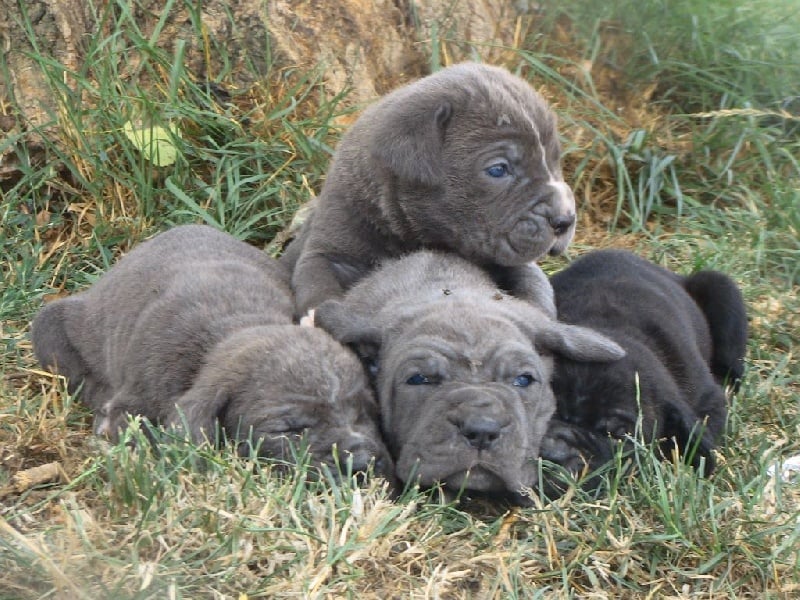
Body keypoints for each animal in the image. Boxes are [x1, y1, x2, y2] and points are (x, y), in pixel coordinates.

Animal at [31, 225, 394, 478]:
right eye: (288, 430)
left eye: (365, 412)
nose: (362, 463)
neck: (239, 325)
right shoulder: (138, 395)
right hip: (50, 325)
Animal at [282, 62, 576, 318]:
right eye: (498, 170)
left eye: (555, 161)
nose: (565, 219)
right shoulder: (334, 241)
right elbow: (318, 281)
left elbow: (535, 285)